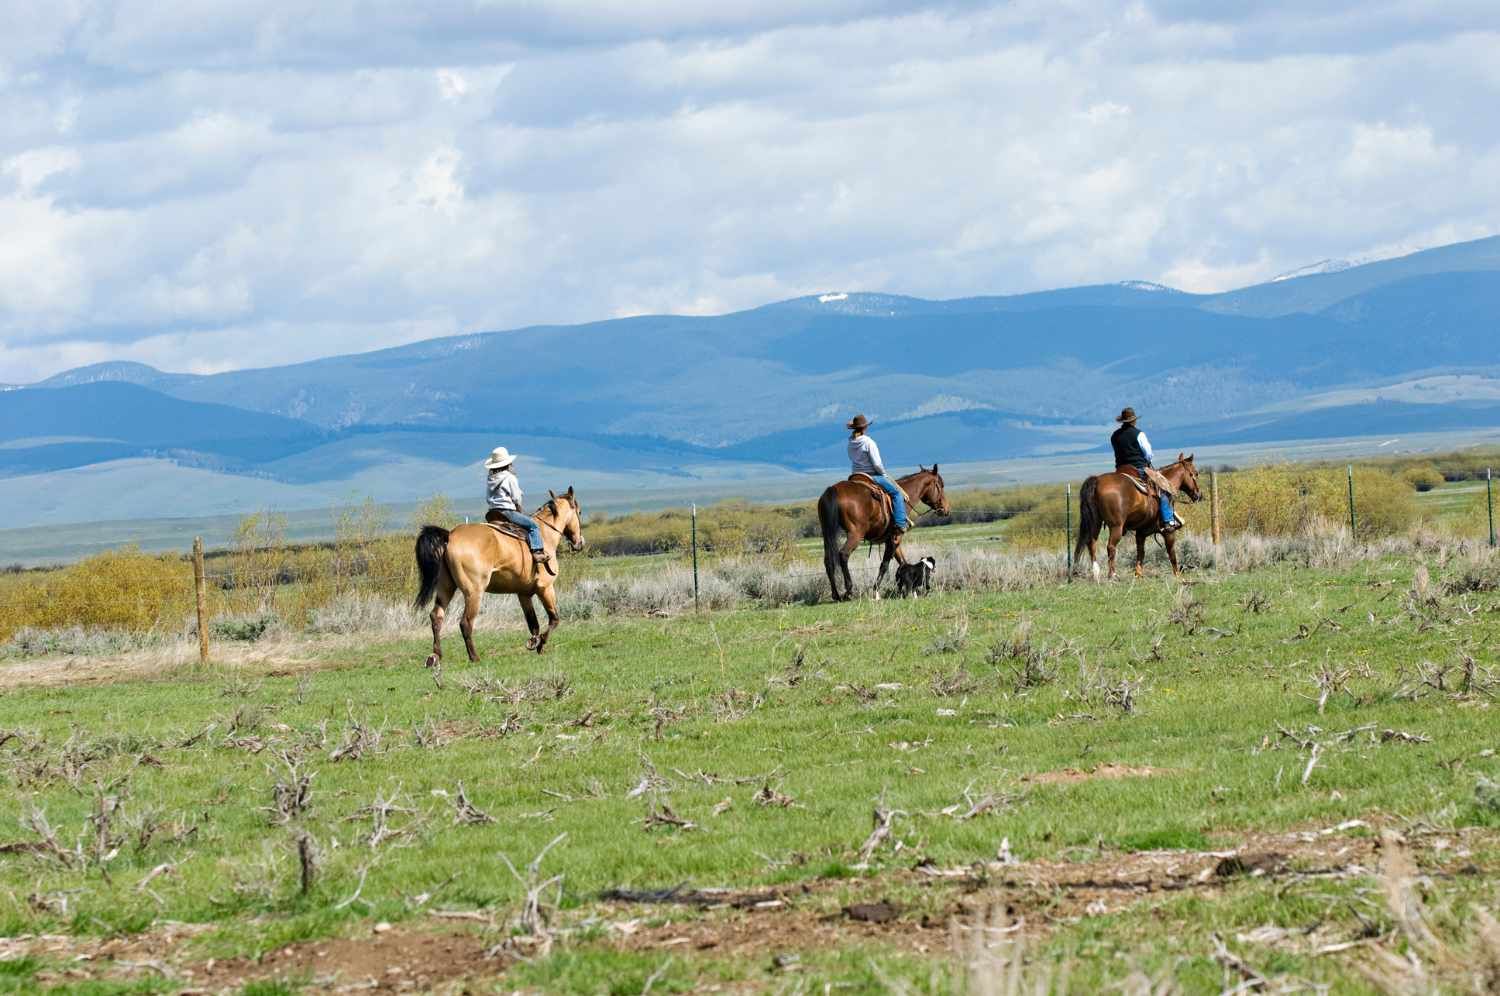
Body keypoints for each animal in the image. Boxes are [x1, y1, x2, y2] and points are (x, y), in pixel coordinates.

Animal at [420, 489, 588, 666]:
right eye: (579, 512)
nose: (579, 543)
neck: (545, 534)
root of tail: (450, 536)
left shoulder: (524, 594)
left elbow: (533, 623)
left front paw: (534, 642)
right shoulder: (545, 588)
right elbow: (554, 619)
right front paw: (541, 643)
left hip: (446, 588)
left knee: (436, 617)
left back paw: (435, 657)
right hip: (474, 593)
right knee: (465, 623)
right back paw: (474, 657)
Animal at [822, 465, 948, 600]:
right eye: (941, 485)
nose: (946, 509)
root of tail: (833, 489)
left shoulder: (894, 539)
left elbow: (902, 562)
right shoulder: (894, 538)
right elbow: (884, 565)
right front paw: (876, 592)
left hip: (827, 533)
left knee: (828, 560)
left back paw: (835, 594)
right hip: (855, 534)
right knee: (843, 554)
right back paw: (848, 591)